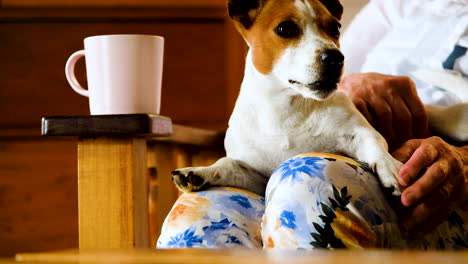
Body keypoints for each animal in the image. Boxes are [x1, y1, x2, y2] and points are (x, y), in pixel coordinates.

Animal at [172, 0, 468, 197]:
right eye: (285, 29)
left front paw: (389, 168)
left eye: (335, 28)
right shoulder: (257, 176)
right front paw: (199, 172)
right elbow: (226, 164)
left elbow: (375, 145)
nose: (335, 58)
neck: (287, 111)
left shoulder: (358, 133)